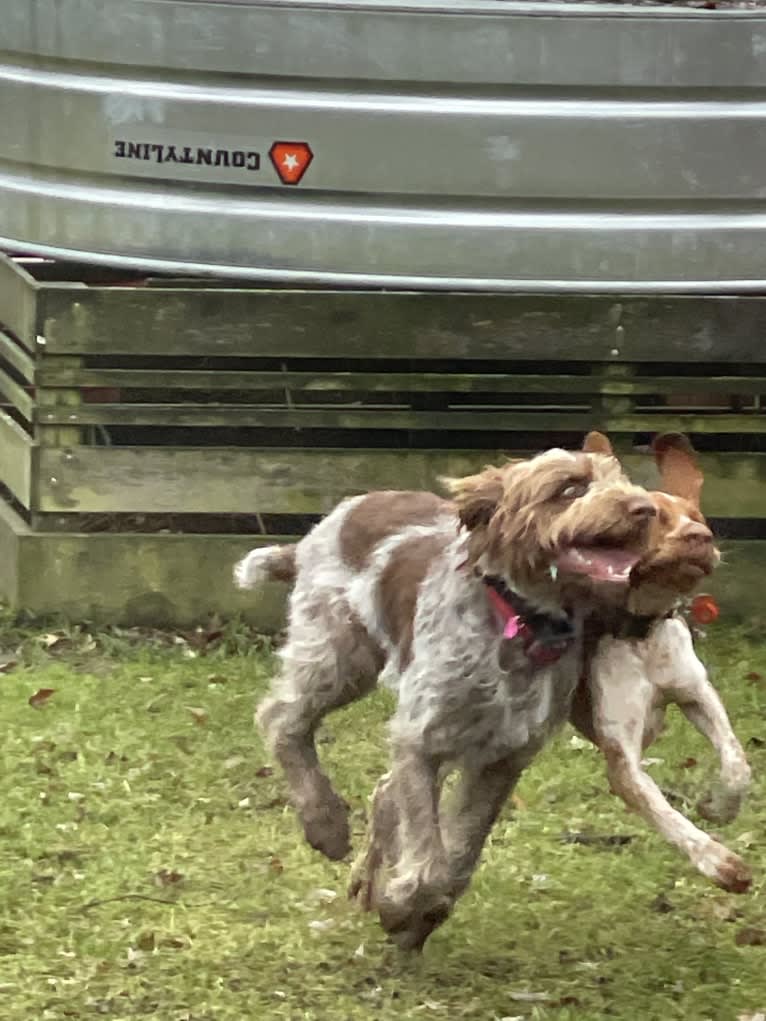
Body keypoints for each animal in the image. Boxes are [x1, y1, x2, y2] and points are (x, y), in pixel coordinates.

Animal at [233, 447, 653, 947]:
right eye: (570, 488)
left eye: (621, 479)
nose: (646, 509)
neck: (518, 622)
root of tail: (327, 522)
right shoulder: (421, 739)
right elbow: (428, 854)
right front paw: (401, 906)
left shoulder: (504, 757)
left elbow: (460, 852)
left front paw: (420, 912)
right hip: (339, 655)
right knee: (281, 719)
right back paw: (325, 824)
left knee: (379, 788)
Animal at [571, 430, 751, 894]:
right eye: (655, 518)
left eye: (699, 517)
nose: (700, 536)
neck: (645, 634)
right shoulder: (623, 760)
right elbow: (665, 814)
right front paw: (717, 862)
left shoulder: (696, 693)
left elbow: (736, 761)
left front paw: (719, 807)